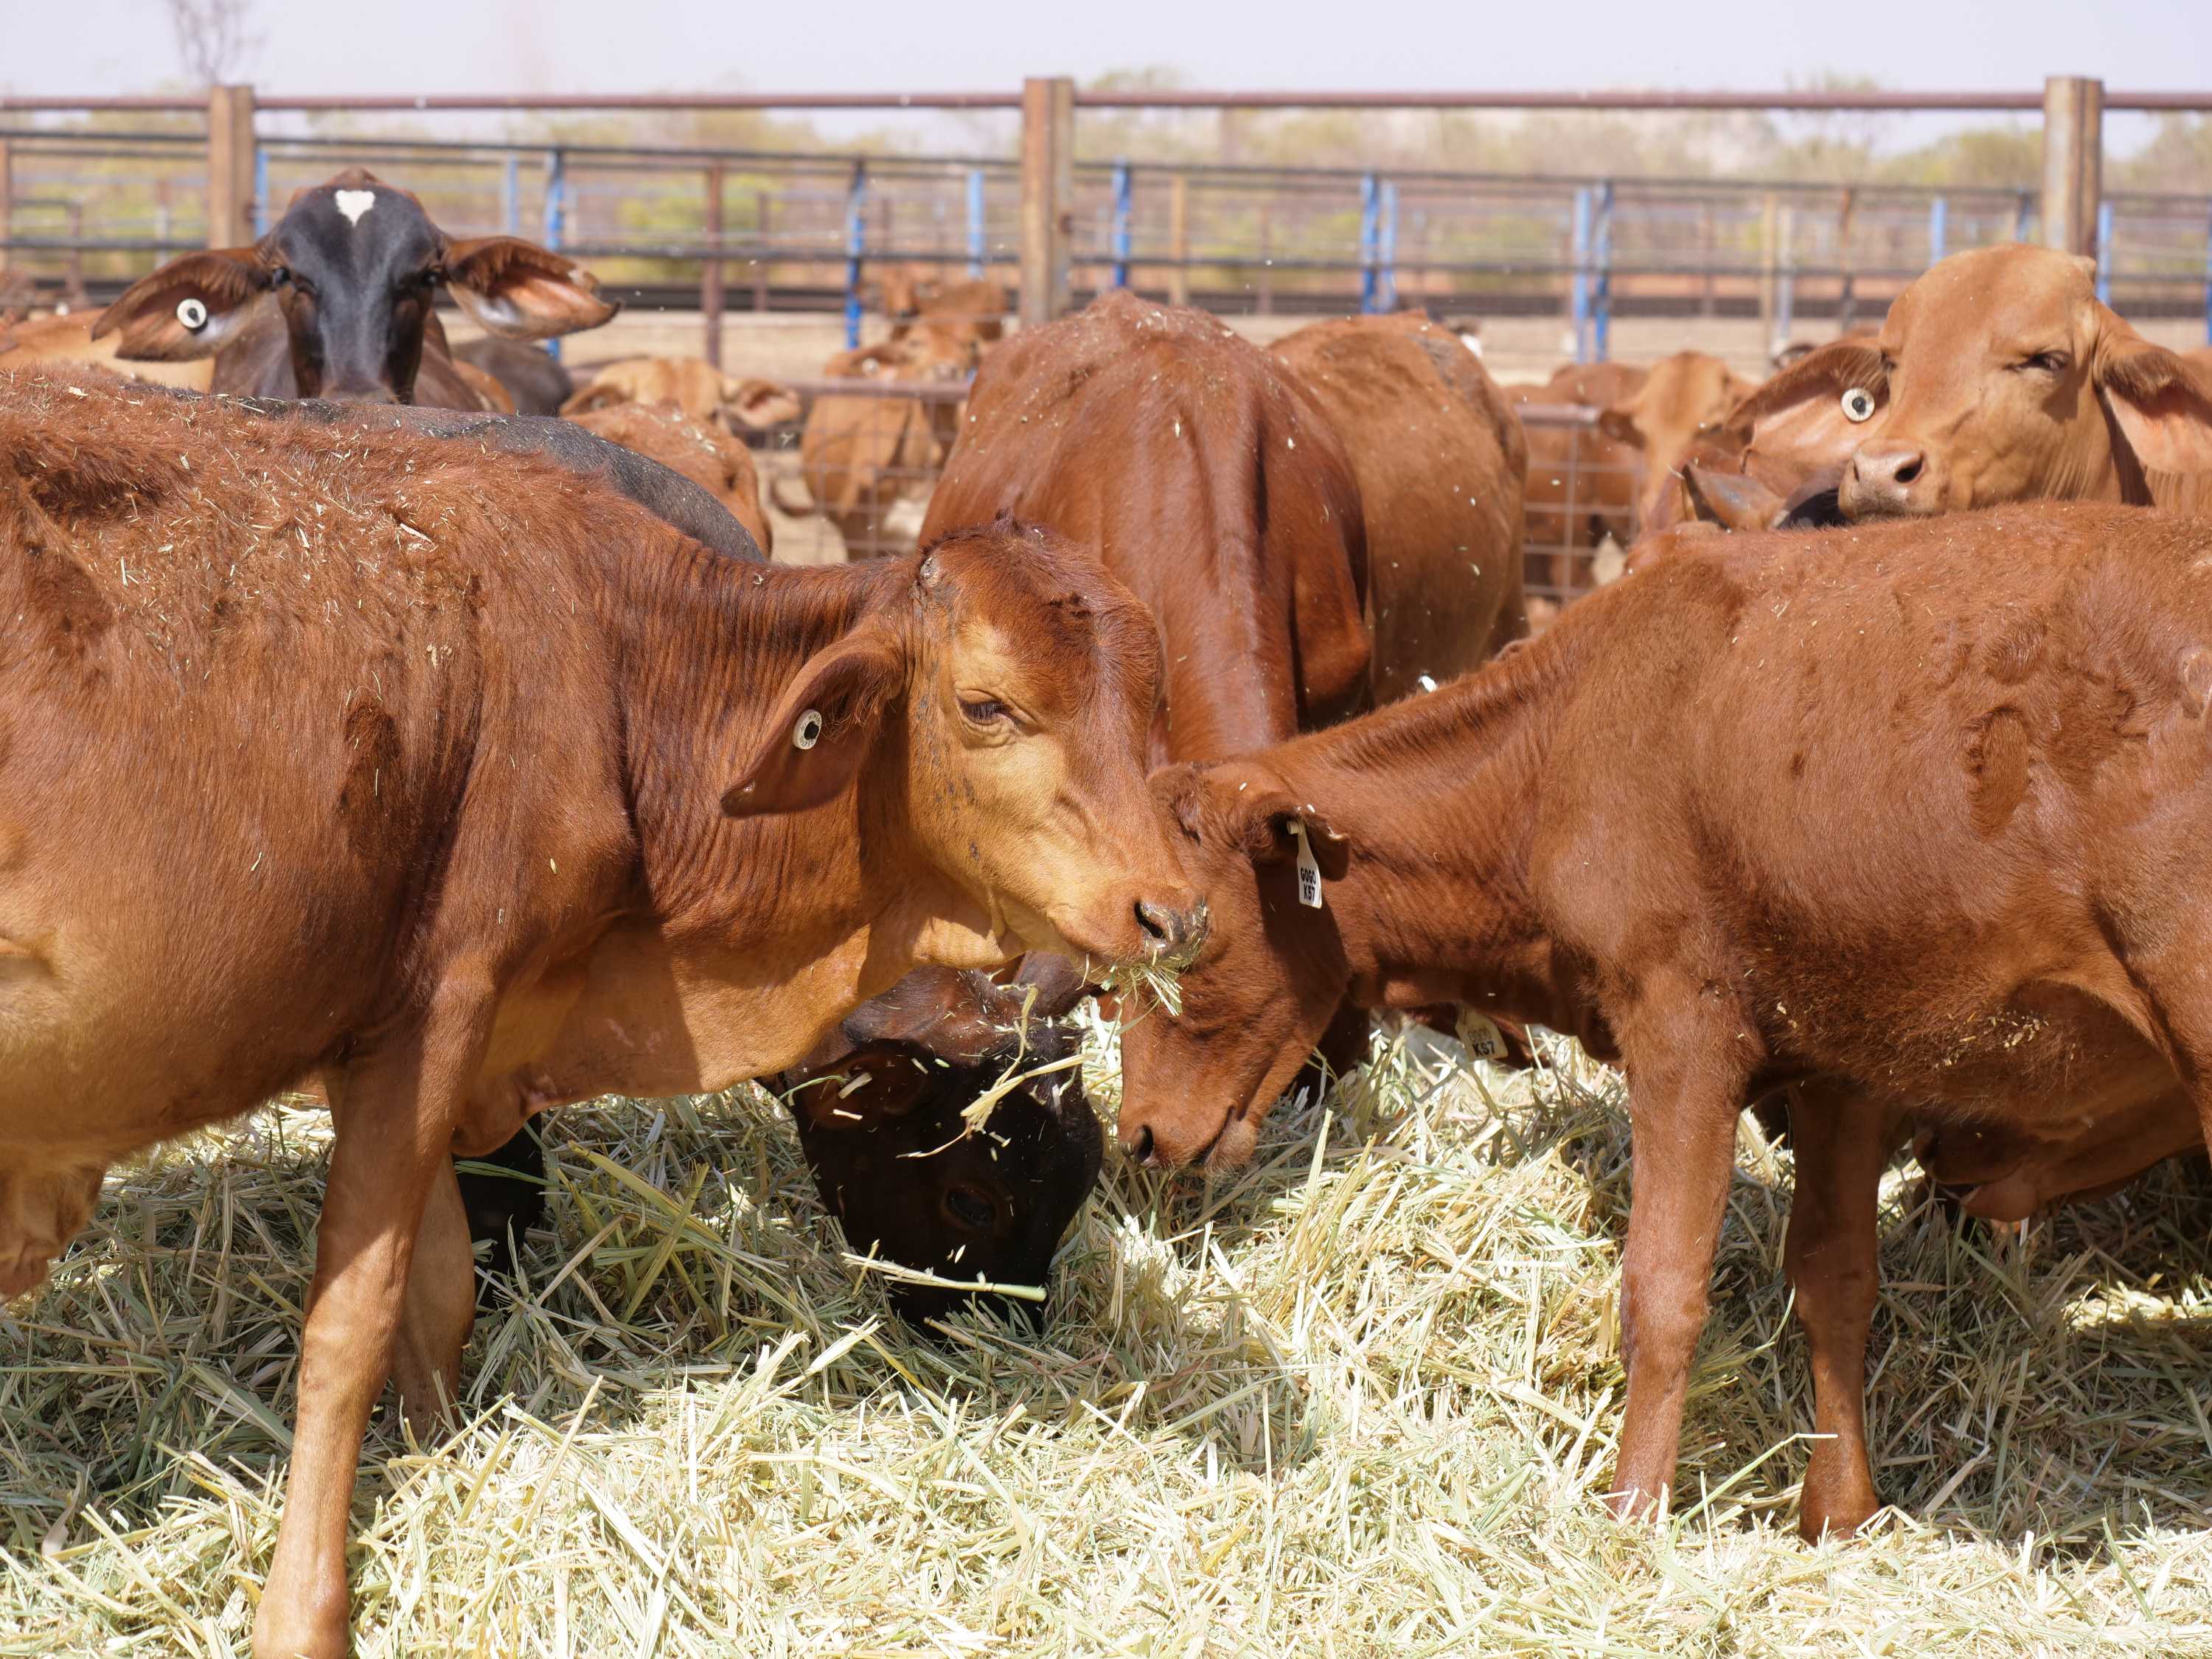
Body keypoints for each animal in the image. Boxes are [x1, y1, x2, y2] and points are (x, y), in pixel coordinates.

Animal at [0, 370, 1203, 1659]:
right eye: (987, 705)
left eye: (1151, 696)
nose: (1173, 911)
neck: (621, 678)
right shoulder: (436, 1006)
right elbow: (354, 1324)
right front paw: (306, 1612)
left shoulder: (430, 1036)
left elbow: (440, 1292)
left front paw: (439, 1459)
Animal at [1112, 501, 2212, 1548]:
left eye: (1181, 938)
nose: (1140, 1133)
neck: (1568, 736)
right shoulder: (1842, 1055)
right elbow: (1837, 1275)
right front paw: (1838, 1512)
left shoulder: (1682, 1028)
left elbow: (1665, 1285)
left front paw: (1632, 1515)